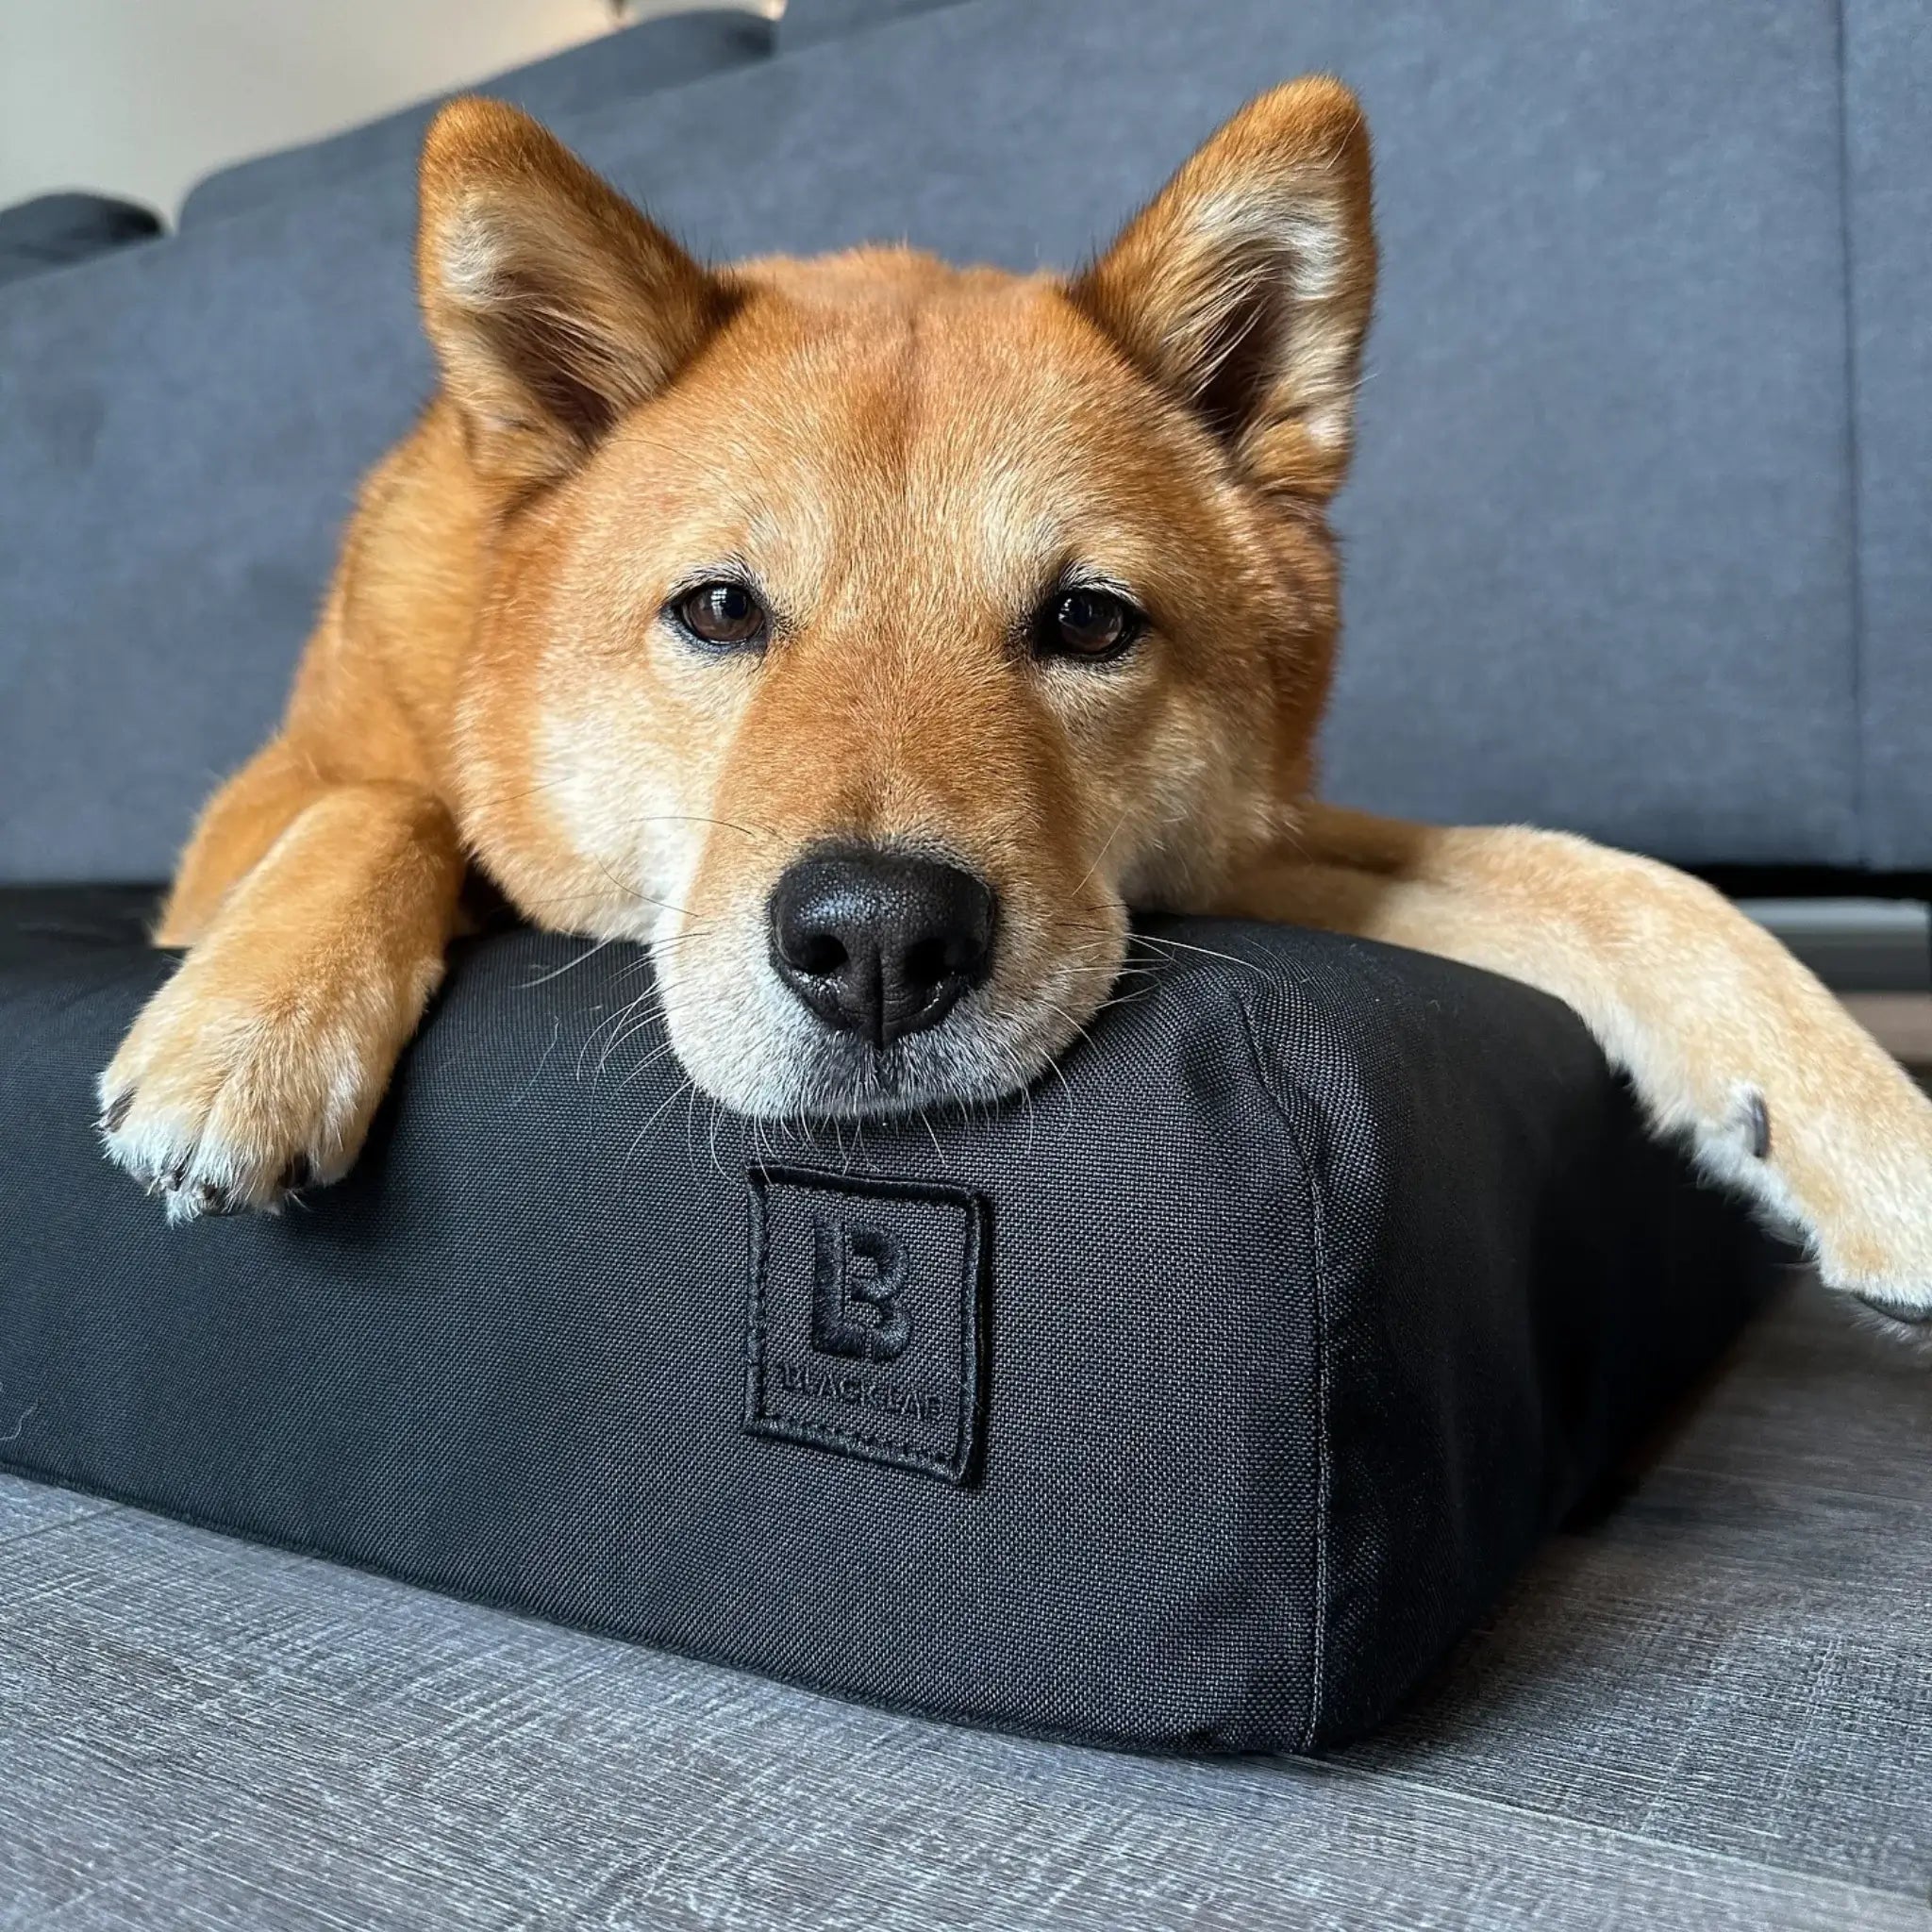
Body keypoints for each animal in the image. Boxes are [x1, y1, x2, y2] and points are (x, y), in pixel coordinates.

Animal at [91, 83, 1932, 1337]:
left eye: (1087, 622)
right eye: (719, 610)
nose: (877, 944)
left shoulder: (1229, 849)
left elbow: (1603, 876)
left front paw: (1856, 1126)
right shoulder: (251, 816)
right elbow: (394, 798)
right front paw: (249, 1031)